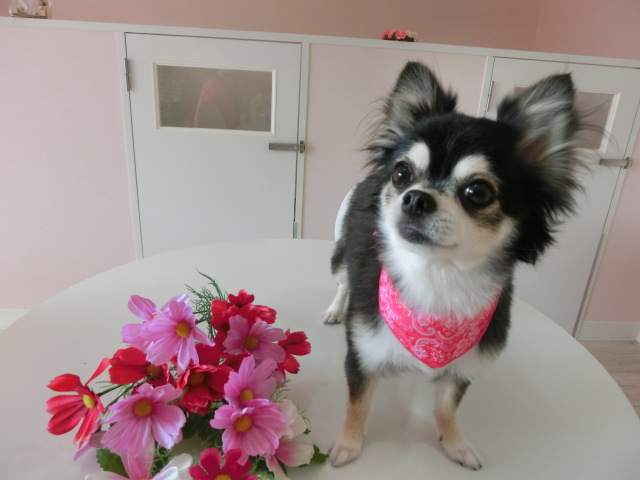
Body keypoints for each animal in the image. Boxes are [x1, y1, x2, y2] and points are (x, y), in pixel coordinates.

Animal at [322, 61, 584, 470]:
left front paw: (455, 442)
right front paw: (348, 443)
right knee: (342, 282)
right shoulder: (362, 353)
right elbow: (357, 403)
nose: (414, 198)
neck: (437, 280)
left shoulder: (466, 365)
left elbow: (447, 406)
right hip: (342, 253)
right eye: (401, 174)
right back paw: (336, 309)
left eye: (477, 192)